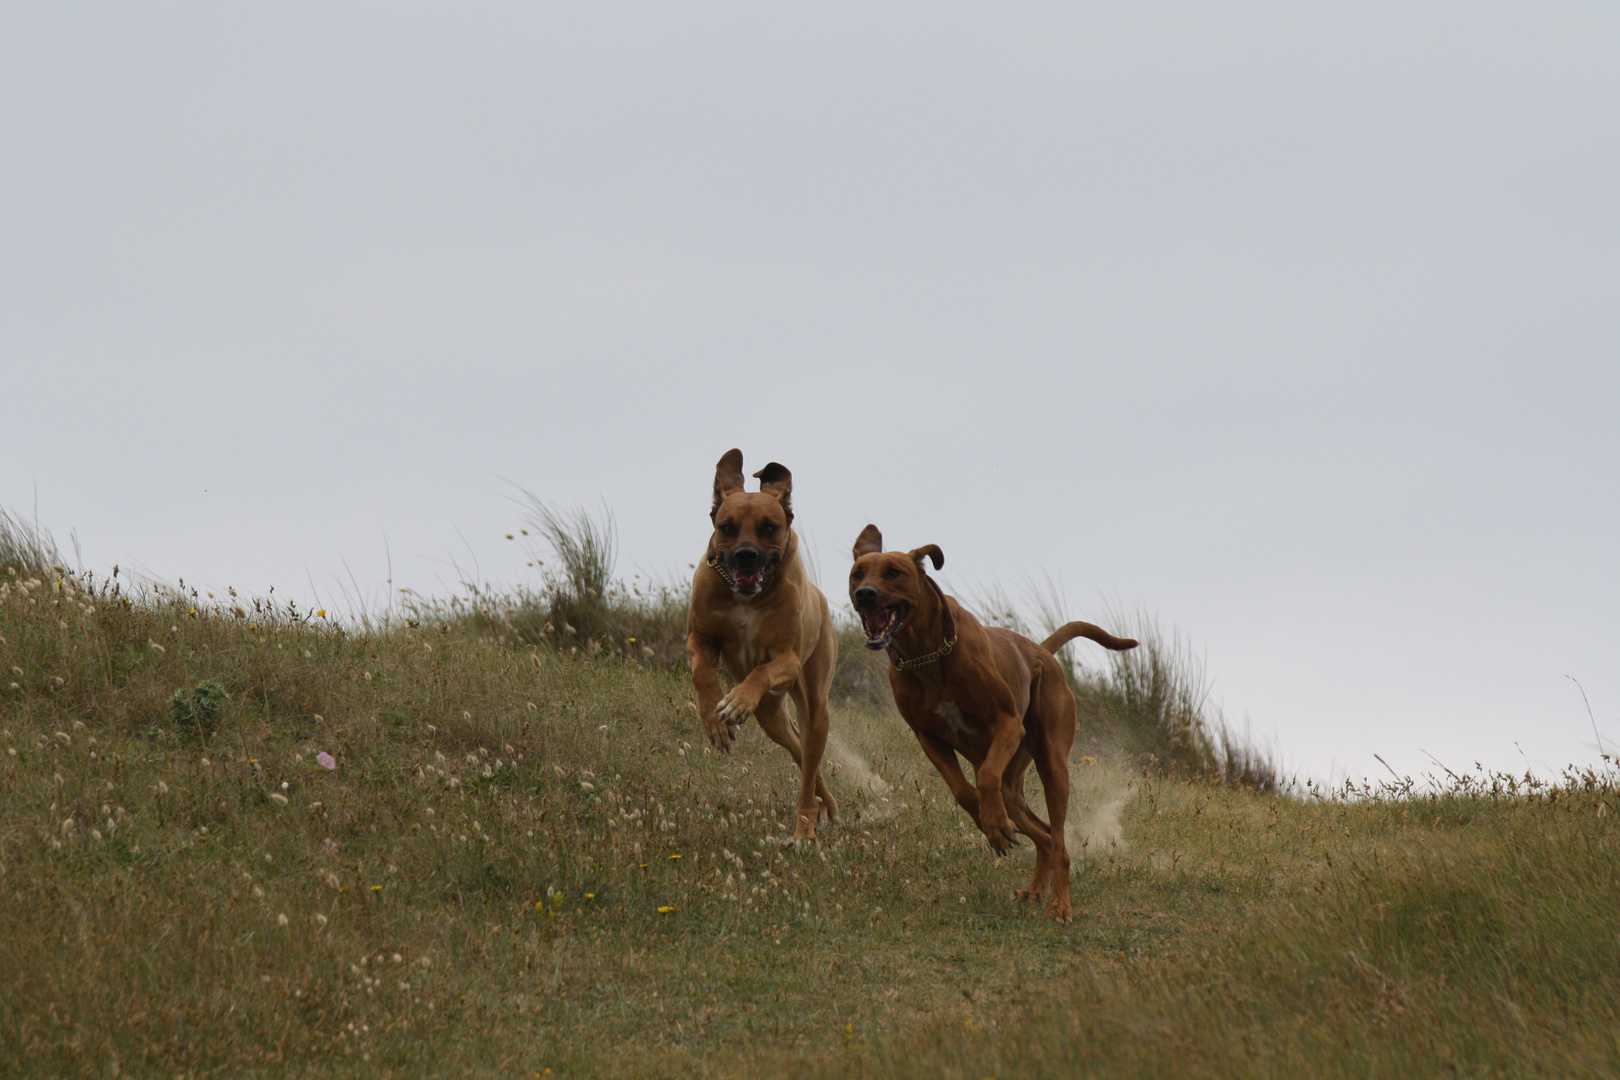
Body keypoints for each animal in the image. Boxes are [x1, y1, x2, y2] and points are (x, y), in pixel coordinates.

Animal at [683, 453, 835, 841]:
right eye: (727, 526)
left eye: (769, 527)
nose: (746, 556)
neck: (747, 597)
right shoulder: (699, 637)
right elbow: (702, 672)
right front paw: (715, 722)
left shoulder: (788, 659)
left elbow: (762, 670)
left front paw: (737, 700)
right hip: (770, 715)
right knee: (798, 751)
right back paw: (824, 805)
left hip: (815, 705)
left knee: (809, 761)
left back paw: (806, 825)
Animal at [848, 524, 1140, 919]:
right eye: (857, 573)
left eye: (894, 572)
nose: (865, 594)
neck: (929, 655)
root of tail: (1041, 650)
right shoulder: (927, 737)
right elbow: (962, 791)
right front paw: (990, 826)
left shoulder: (1007, 724)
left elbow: (985, 777)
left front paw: (996, 826)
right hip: (1013, 783)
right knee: (1045, 835)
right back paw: (1035, 886)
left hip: (1051, 760)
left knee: (1060, 840)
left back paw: (1059, 905)